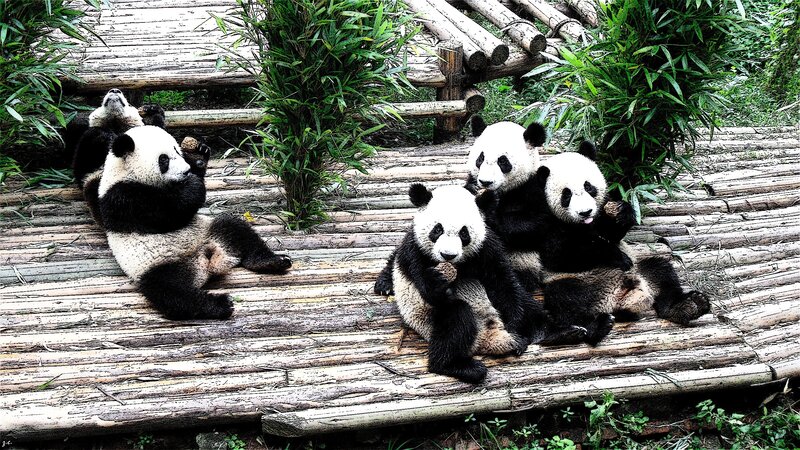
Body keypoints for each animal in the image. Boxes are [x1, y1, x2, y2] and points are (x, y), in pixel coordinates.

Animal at [95, 125, 292, 320]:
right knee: (171, 292)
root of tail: (205, 260)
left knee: (235, 228)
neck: (125, 172)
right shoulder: (122, 198)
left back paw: (273, 261)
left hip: (208, 232)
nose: (185, 171)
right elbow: (167, 213)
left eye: (177, 150)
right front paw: (193, 186)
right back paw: (220, 305)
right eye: (163, 159)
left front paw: (199, 158)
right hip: (156, 266)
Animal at [374, 116, 547, 295]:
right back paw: (385, 282)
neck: (503, 193)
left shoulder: (531, 190)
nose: (485, 182)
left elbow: (533, 222)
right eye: (480, 159)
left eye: (503, 161)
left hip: (523, 258)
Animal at [391, 183, 585, 383]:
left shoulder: (486, 248)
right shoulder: (415, 252)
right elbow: (429, 291)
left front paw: (515, 324)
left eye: (464, 233)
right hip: (427, 319)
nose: (447, 255)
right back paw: (458, 366)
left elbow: (503, 283)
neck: (459, 264)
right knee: (456, 316)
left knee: (526, 303)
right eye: (437, 230)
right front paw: (439, 280)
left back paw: (560, 332)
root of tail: (488, 336)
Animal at [530, 142, 711, 344]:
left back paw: (688, 305)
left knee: (662, 271)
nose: (585, 212)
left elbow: (613, 234)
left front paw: (621, 213)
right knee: (565, 300)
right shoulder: (544, 223)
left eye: (588, 186)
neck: (583, 225)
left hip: (640, 271)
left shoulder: (599, 215)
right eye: (566, 195)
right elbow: (563, 253)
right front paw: (618, 257)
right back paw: (594, 327)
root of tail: (617, 297)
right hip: (578, 282)